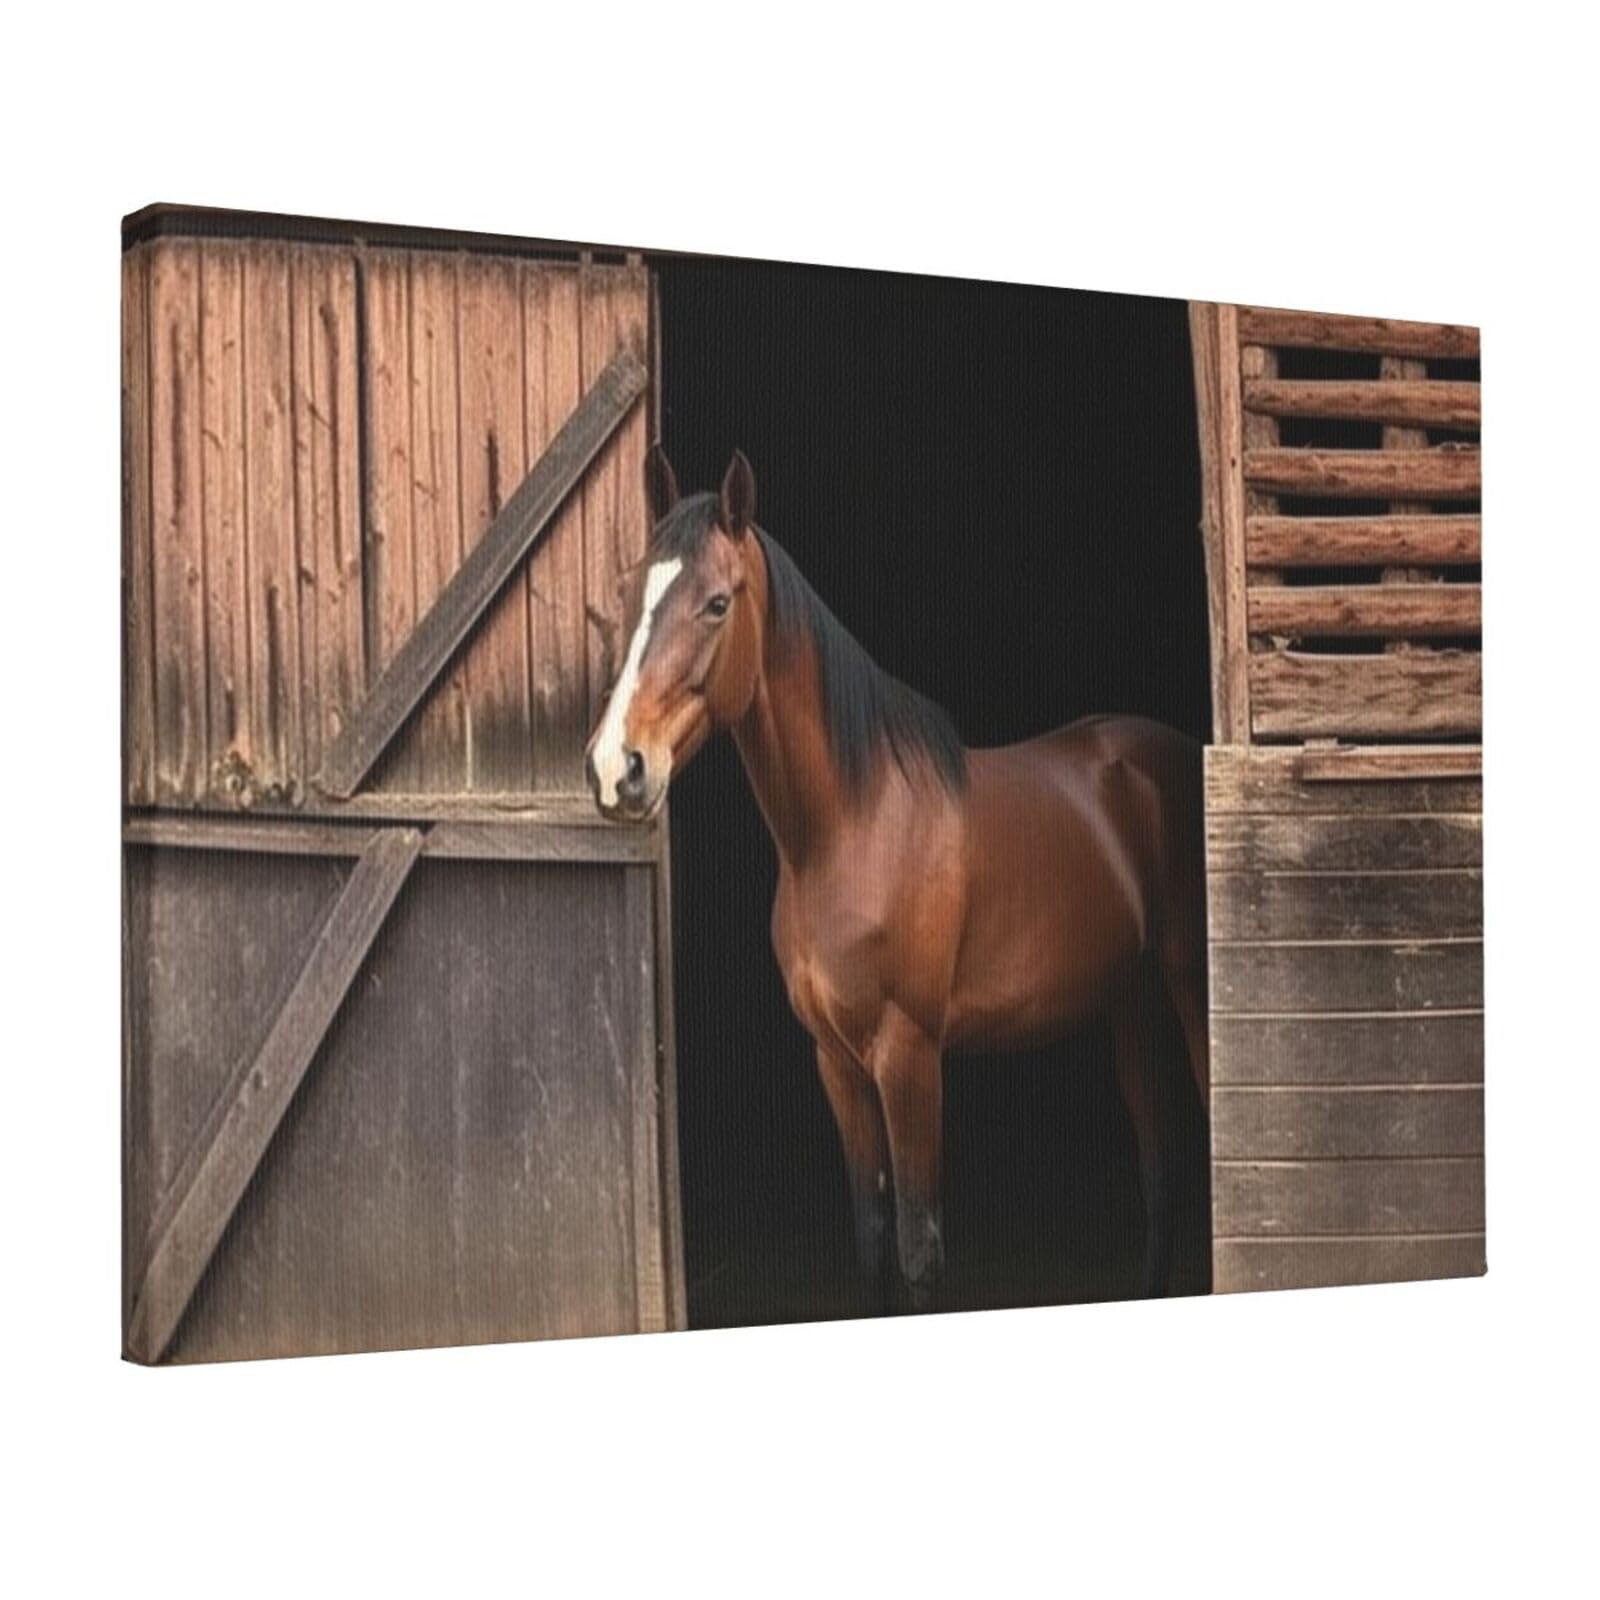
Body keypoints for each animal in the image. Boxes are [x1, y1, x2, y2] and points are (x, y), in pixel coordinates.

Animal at [586, 447, 1210, 1312]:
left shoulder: (908, 1056)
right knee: (1160, 1172)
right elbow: (874, 1238)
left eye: (715, 603)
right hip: (1130, 1001)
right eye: (631, 594)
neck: (851, 826)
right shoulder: (836, 1061)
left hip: (1188, 986)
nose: (618, 768)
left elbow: (919, 1250)